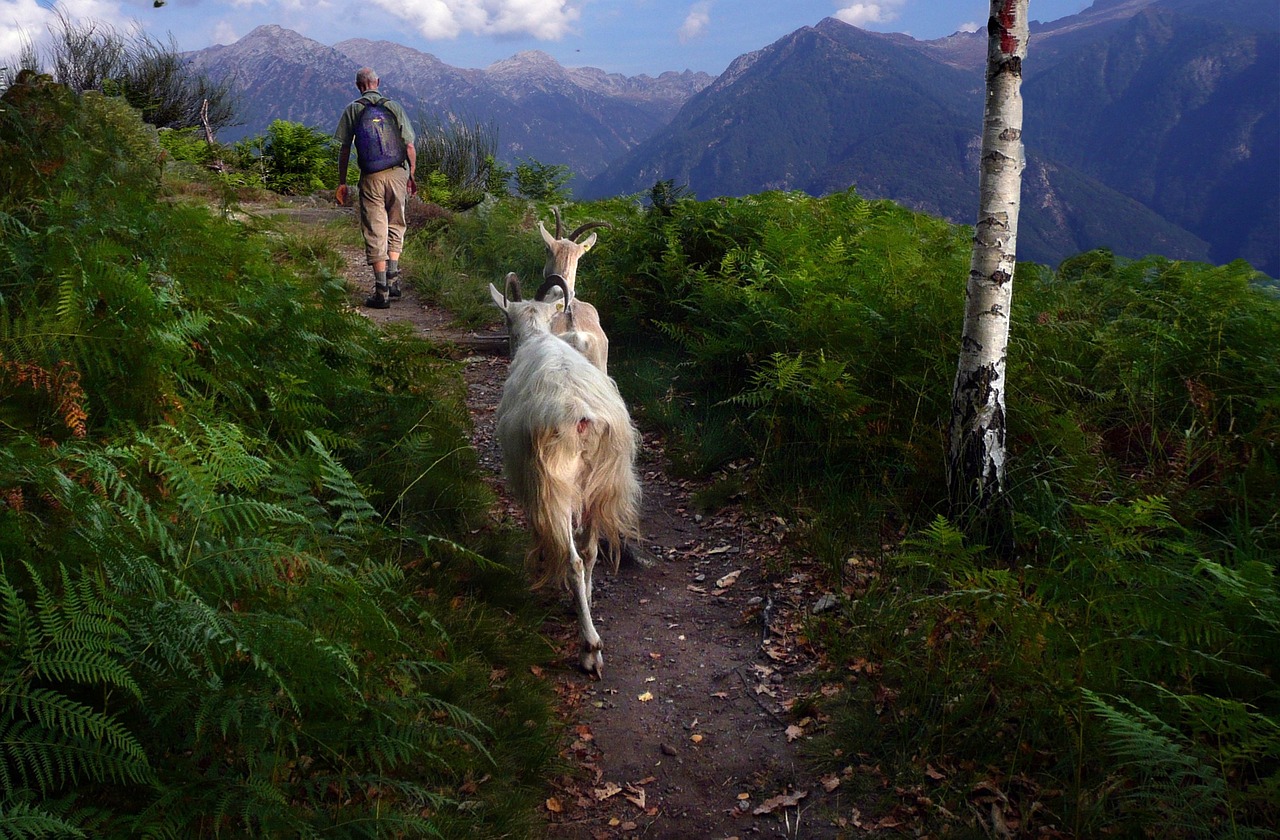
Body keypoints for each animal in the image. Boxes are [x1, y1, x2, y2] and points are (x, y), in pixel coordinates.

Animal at [488, 275, 640, 676]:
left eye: (505, 321)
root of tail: (582, 417)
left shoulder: (530, 481)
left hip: (553, 483)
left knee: (573, 558)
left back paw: (589, 649)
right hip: (602, 483)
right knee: (588, 550)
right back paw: (584, 602)